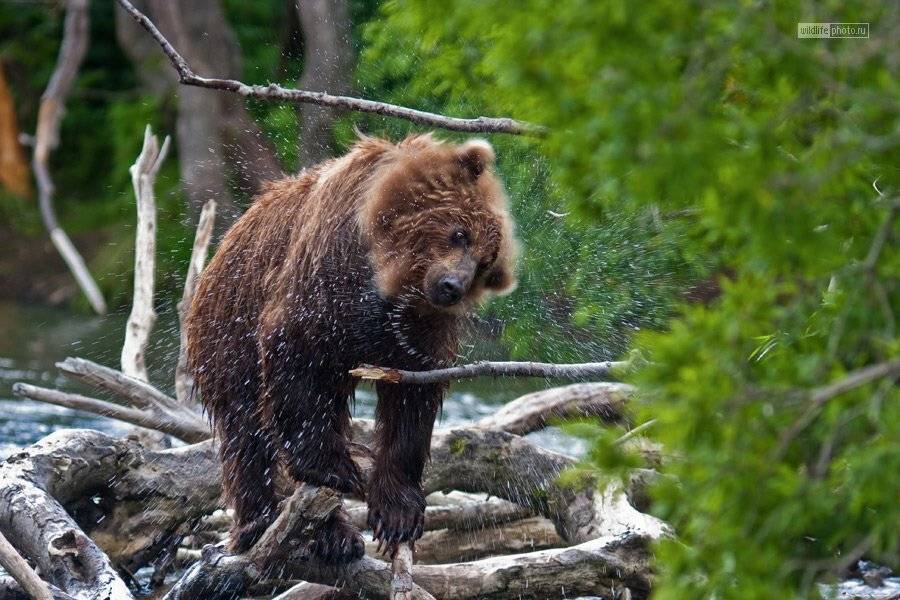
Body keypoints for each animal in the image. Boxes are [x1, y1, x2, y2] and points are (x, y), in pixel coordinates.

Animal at [186, 133, 518, 562]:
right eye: (459, 233)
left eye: (484, 264)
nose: (452, 287)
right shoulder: (326, 273)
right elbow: (296, 357)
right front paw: (336, 470)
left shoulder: (419, 330)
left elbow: (411, 400)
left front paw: (397, 514)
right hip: (227, 335)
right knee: (246, 431)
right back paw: (269, 525)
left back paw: (330, 535)